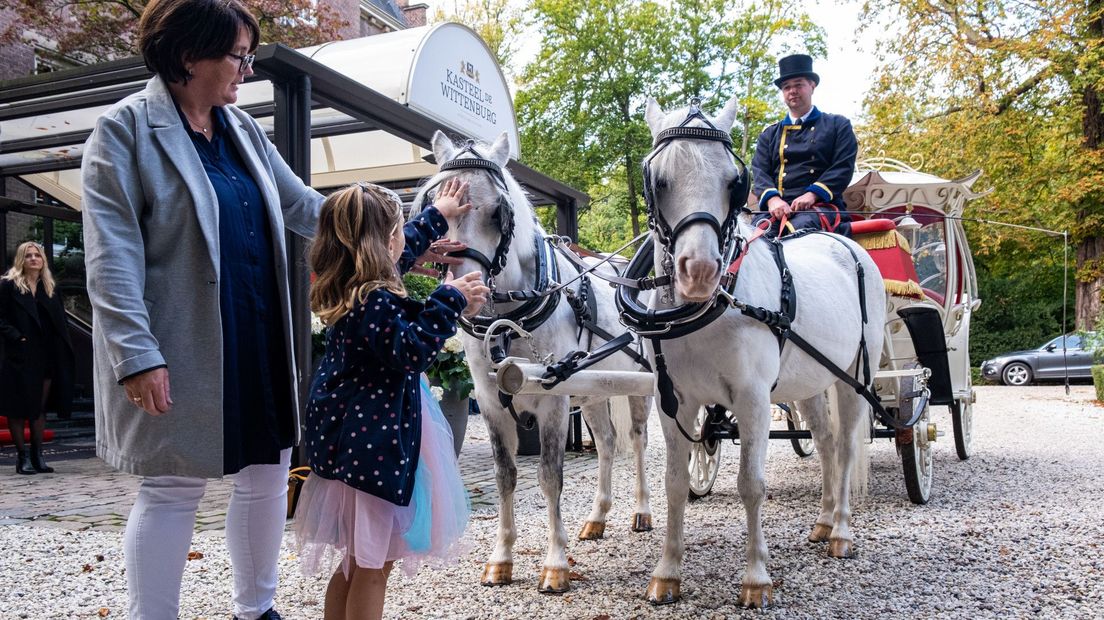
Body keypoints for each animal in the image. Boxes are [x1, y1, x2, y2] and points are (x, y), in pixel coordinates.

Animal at [415, 129, 653, 586]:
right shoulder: (491, 403)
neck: (510, 319)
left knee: (637, 440)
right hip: (592, 391)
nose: (466, 290)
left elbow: (548, 476)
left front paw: (555, 564)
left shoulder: (553, 401)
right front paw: (501, 559)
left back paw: (643, 512)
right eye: (436, 208)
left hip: (639, 387)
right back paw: (597, 519)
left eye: (499, 213)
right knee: (607, 443)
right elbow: (505, 476)